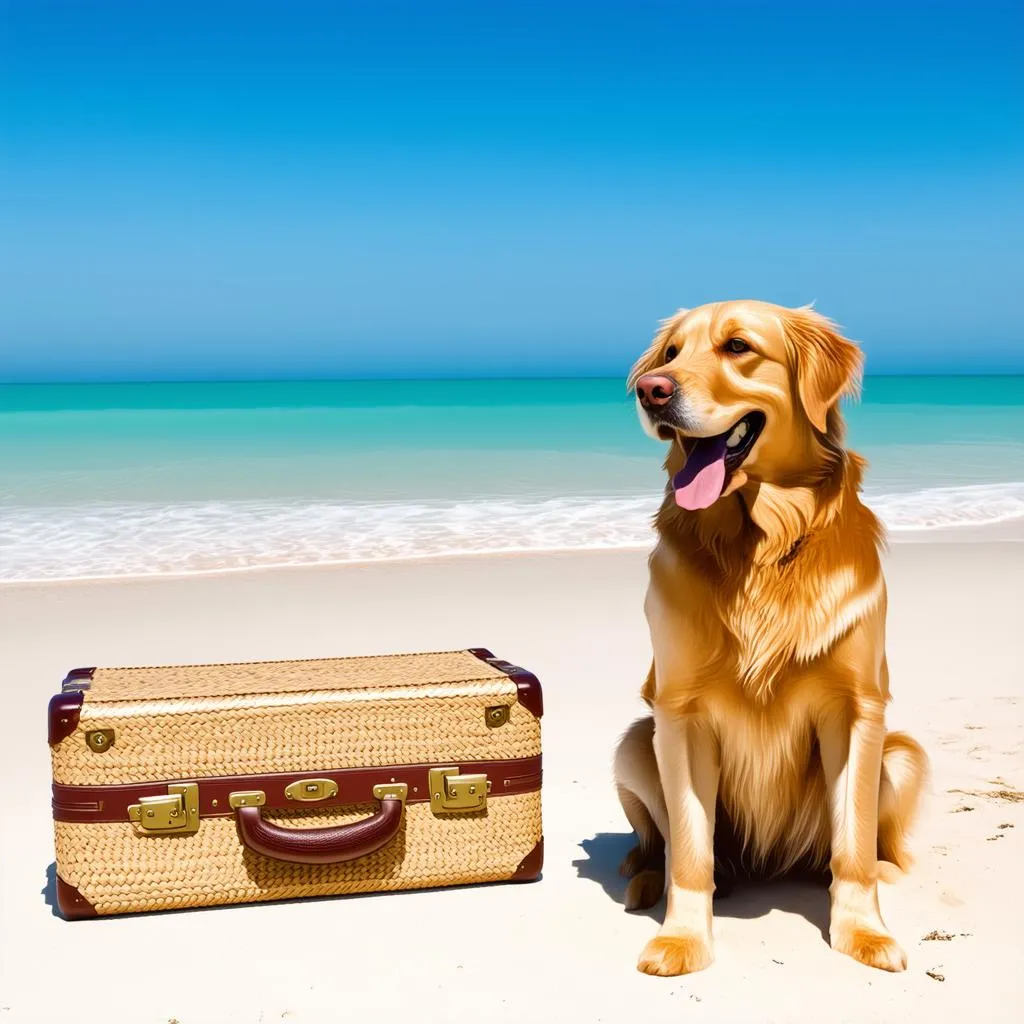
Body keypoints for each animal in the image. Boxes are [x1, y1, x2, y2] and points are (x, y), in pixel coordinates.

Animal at [614, 299, 929, 974]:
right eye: (671, 354)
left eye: (738, 347)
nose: (651, 390)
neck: (761, 546)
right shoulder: (678, 712)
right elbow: (690, 849)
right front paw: (683, 938)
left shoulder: (858, 709)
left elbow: (852, 843)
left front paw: (864, 931)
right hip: (633, 743)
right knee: (660, 844)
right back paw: (644, 876)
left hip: (903, 754)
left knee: (867, 841)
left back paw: (887, 868)